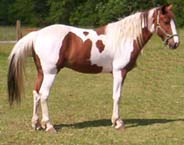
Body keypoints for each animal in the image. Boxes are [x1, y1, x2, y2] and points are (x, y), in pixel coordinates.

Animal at [7, 4, 180, 132]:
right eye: (165, 21)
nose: (176, 43)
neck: (125, 38)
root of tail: (37, 34)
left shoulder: (116, 73)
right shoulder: (120, 72)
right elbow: (117, 96)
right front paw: (118, 122)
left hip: (41, 73)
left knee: (36, 94)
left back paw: (36, 124)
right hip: (50, 73)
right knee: (43, 95)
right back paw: (49, 126)